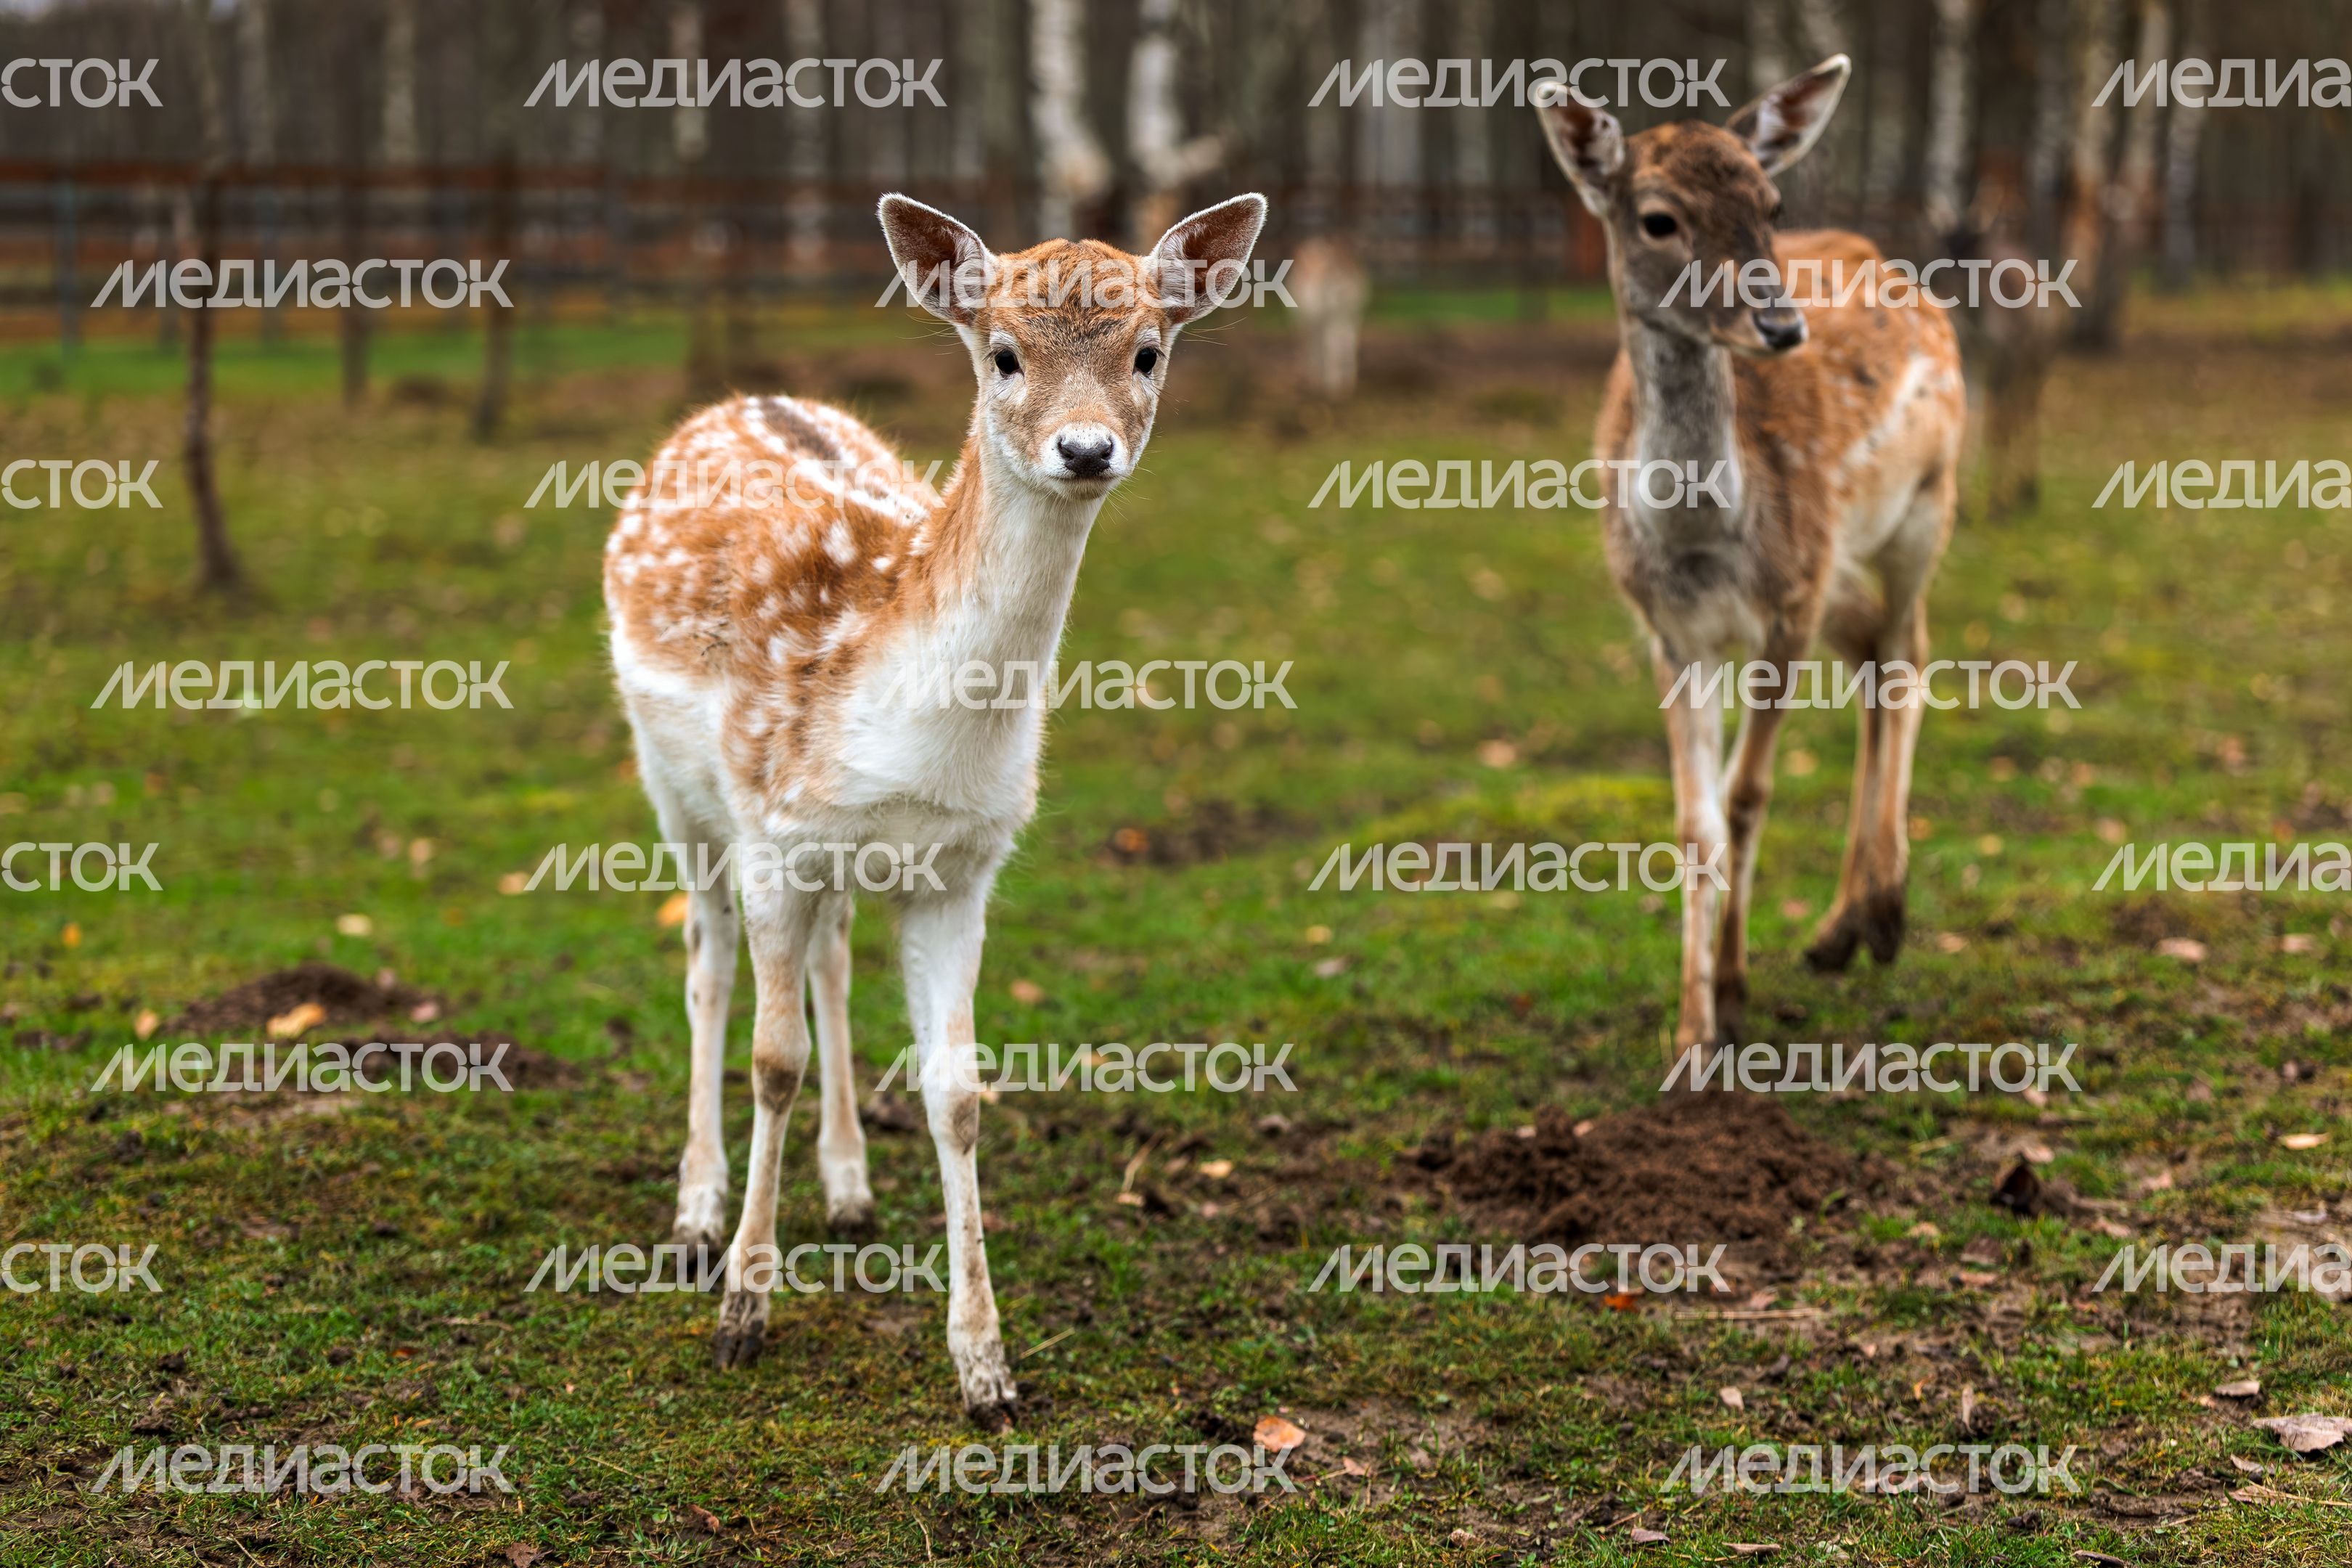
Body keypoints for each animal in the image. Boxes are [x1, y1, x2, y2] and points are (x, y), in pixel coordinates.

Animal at [601, 191, 1266, 1424]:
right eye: (1002, 354)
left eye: (1148, 352)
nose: (1086, 448)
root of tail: (732, 399)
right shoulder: (773, 831)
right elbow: (770, 1058)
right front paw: (742, 1318)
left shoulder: (962, 864)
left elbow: (959, 1093)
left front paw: (988, 1371)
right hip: (675, 786)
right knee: (706, 966)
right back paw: (698, 1216)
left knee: (829, 959)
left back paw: (850, 1189)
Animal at [1532, 58, 1966, 1051]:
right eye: (1658, 218)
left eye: (1771, 203)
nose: (1781, 327)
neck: (1703, 540)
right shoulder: (1671, 629)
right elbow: (1697, 823)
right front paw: (1695, 1032)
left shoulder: (1786, 607)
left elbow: (1748, 794)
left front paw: (1731, 992)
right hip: (1841, 569)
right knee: (1874, 654)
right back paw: (1840, 928)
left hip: (1925, 504)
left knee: (1909, 653)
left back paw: (1885, 912)